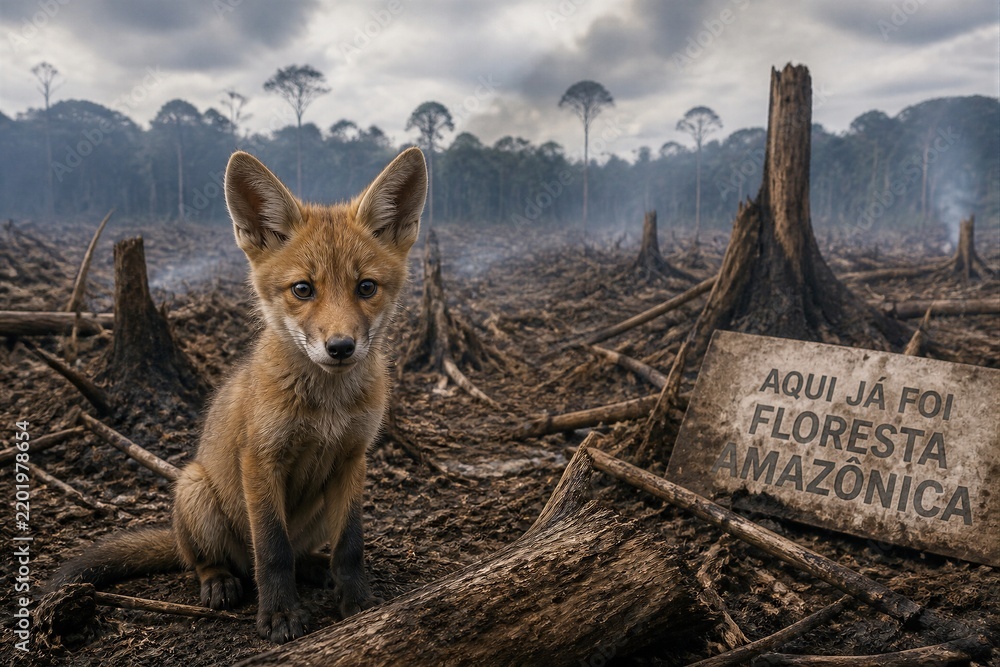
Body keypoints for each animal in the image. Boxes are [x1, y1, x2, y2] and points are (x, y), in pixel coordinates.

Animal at [51, 147, 428, 643]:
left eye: (366, 287)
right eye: (302, 289)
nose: (341, 347)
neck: (325, 408)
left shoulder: (352, 458)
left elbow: (349, 545)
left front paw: (357, 603)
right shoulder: (260, 459)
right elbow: (271, 550)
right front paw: (279, 615)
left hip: (311, 513)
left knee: (299, 552)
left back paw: (315, 568)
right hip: (194, 489)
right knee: (213, 561)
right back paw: (220, 582)